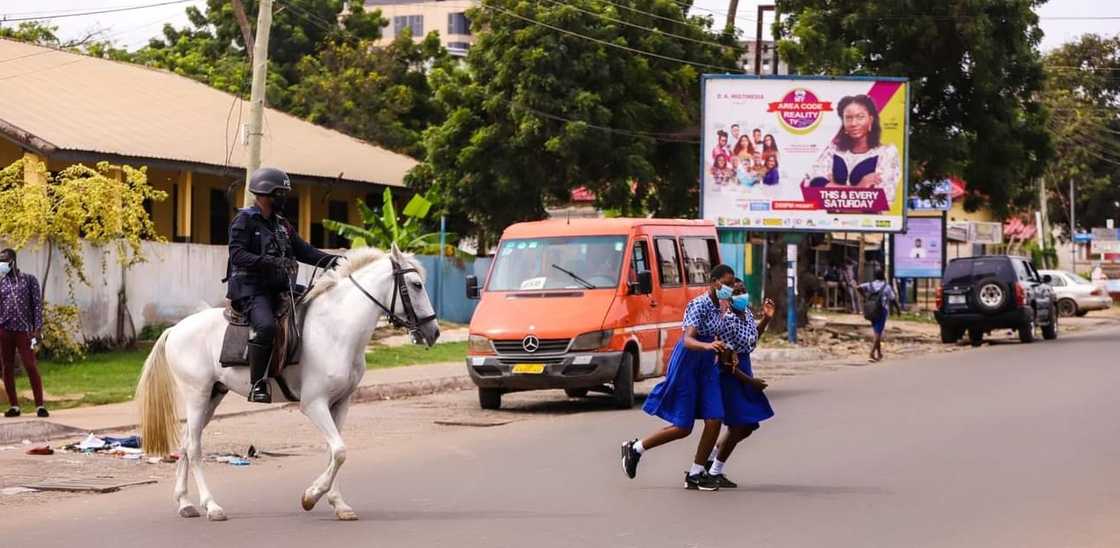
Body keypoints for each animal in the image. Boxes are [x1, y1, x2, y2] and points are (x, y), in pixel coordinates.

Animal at [134, 245, 436, 519]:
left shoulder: (340, 403)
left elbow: (335, 451)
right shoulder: (314, 404)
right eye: (417, 285)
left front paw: (338, 504)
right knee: (194, 448)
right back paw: (212, 506)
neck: (336, 329)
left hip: (213, 395)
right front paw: (311, 496)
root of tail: (175, 328)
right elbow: (339, 450)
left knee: (186, 442)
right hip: (196, 394)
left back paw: (185, 503)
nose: (433, 332)